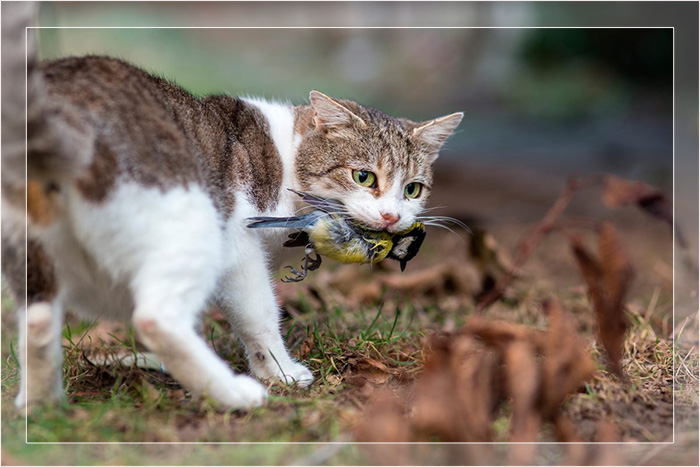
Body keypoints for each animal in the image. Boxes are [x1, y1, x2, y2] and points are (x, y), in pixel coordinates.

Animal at [2, 6, 462, 410]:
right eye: (364, 177)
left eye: (413, 189)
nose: (392, 216)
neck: (286, 155)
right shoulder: (239, 245)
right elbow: (258, 315)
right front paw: (279, 373)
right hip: (192, 222)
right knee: (155, 317)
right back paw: (234, 395)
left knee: (38, 321)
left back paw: (42, 408)